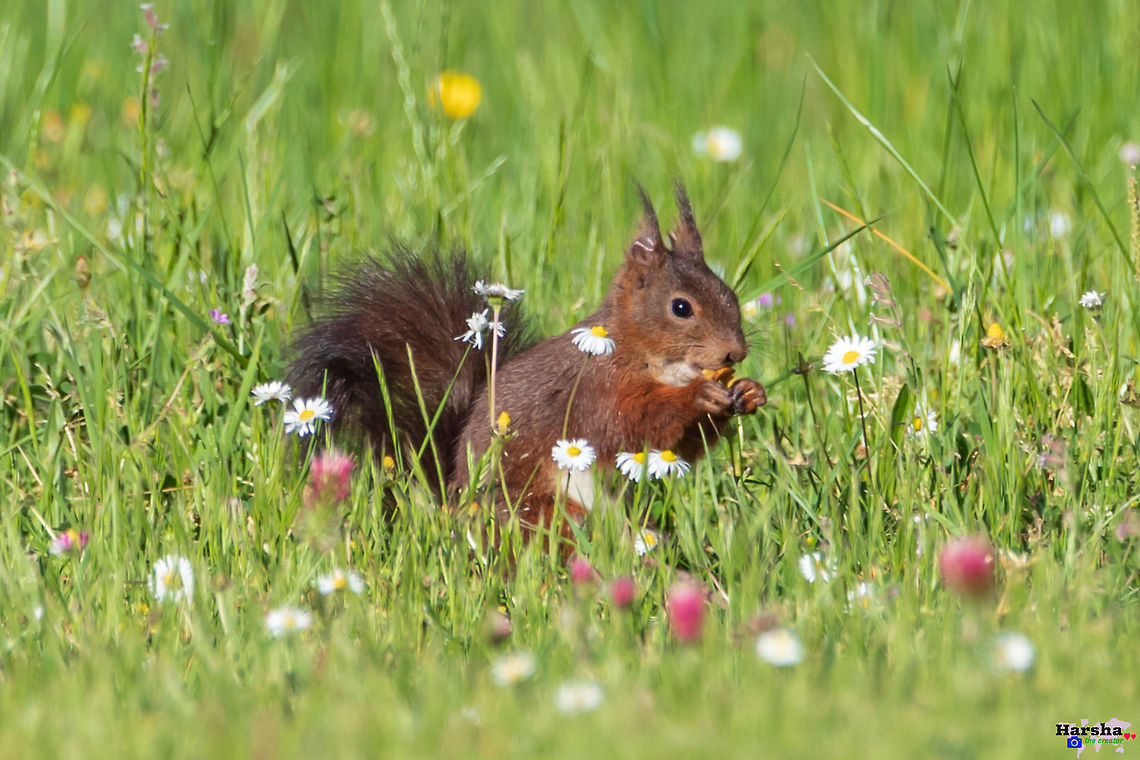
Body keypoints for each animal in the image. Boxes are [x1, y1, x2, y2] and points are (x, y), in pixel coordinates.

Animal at [289, 184, 766, 548]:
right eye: (680, 307)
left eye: (729, 294)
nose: (735, 353)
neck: (647, 356)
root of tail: (455, 505)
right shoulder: (596, 389)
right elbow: (633, 421)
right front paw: (698, 396)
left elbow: (682, 449)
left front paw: (748, 392)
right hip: (539, 509)